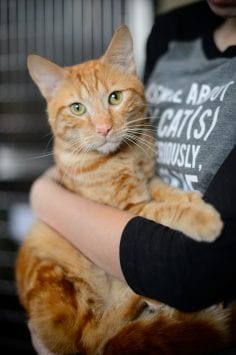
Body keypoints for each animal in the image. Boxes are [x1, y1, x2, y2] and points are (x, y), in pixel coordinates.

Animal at [15, 26, 235, 354]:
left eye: (115, 97)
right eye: (77, 108)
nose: (104, 129)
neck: (123, 156)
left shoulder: (149, 180)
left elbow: (167, 193)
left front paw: (192, 200)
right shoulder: (128, 208)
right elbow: (163, 209)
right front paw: (203, 219)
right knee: (91, 338)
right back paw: (136, 298)